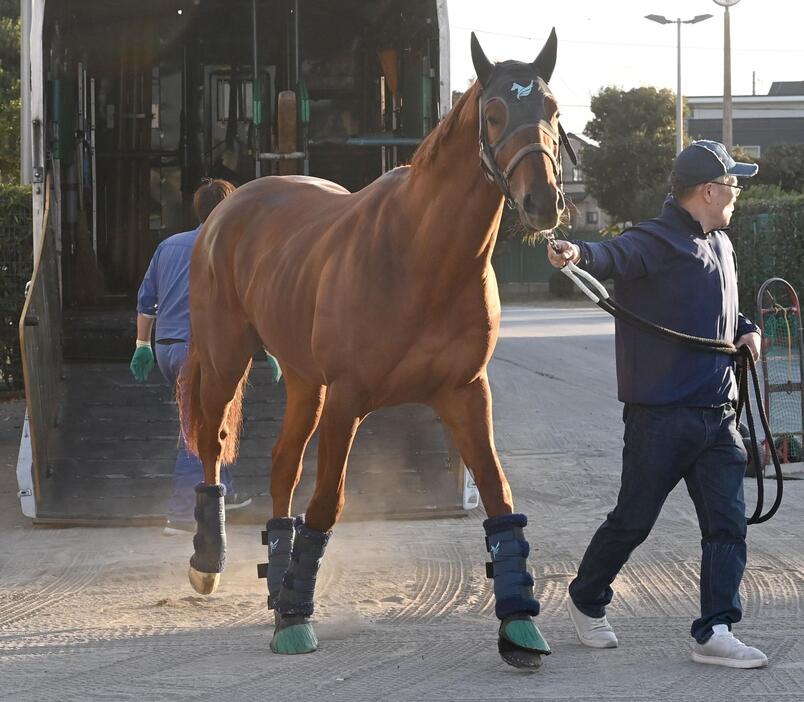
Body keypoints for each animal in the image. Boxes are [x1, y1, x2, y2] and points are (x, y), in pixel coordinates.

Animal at [182, 31, 572, 672]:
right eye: (493, 113)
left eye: (553, 110)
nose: (543, 202)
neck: (421, 257)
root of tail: (231, 205)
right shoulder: (348, 400)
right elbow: (327, 504)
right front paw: (296, 619)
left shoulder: (465, 394)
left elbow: (497, 495)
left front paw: (519, 623)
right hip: (226, 359)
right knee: (213, 442)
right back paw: (210, 565)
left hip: (303, 381)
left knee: (282, 463)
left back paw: (278, 582)